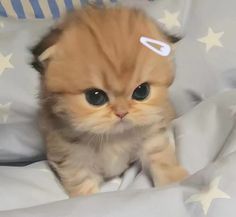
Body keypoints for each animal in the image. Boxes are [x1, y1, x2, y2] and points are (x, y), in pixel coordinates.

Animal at [31, 5, 187, 197]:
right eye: (95, 96)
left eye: (141, 91)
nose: (122, 112)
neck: (114, 138)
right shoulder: (73, 160)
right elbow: (83, 186)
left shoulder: (153, 135)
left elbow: (162, 160)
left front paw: (175, 183)